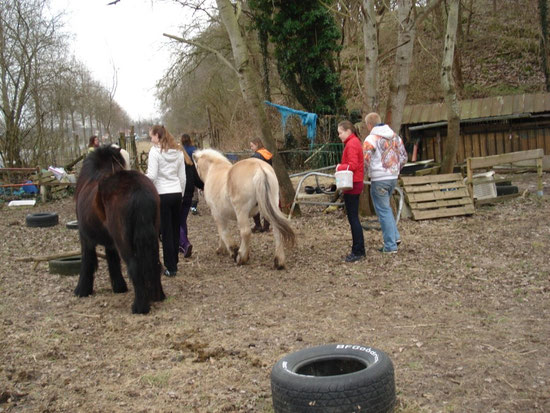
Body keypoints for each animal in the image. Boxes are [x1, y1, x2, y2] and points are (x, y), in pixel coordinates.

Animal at [75, 144, 166, 312]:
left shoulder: (85, 238)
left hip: (123, 241)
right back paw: (157, 296)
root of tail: (138, 190)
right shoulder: (111, 244)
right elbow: (113, 261)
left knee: (135, 266)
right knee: (155, 262)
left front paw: (82, 290)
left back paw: (139, 307)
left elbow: (87, 262)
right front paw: (119, 287)